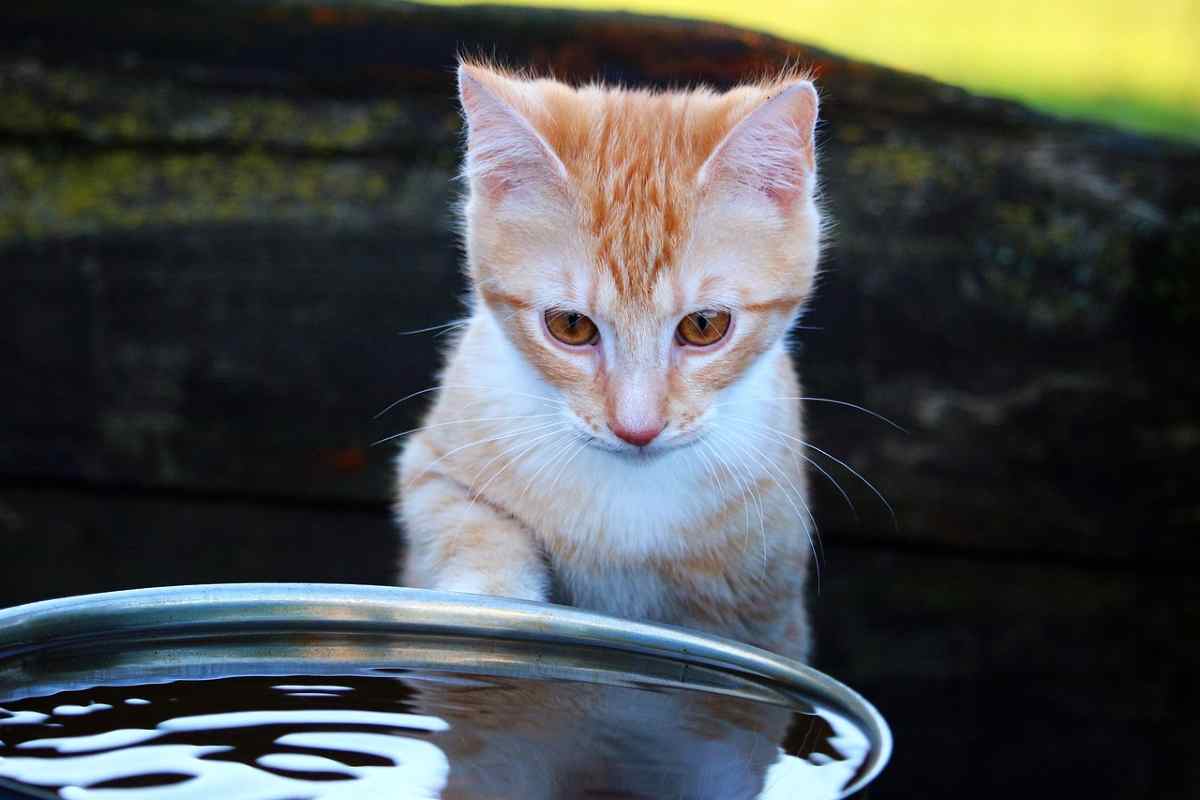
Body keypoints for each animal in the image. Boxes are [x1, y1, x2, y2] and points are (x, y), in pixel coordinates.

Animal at [398, 61, 820, 662]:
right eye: (571, 326)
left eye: (704, 326)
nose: (636, 428)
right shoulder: (434, 464)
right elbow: (469, 525)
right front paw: (492, 603)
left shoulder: (769, 603)